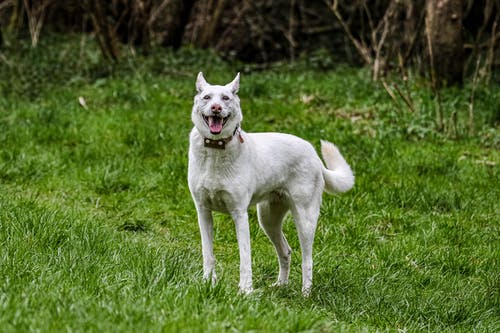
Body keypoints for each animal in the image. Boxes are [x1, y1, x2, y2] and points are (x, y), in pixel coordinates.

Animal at [188, 72, 356, 294]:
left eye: (226, 98)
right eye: (207, 97)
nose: (216, 108)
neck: (216, 149)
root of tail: (314, 155)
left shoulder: (239, 214)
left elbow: (245, 257)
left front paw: (245, 291)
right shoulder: (203, 212)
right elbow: (208, 254)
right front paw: (208, 284)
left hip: (305, 219)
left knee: (307, 259)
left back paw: (305, 293)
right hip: (268, 219)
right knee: (285, 251)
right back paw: (281, 285)